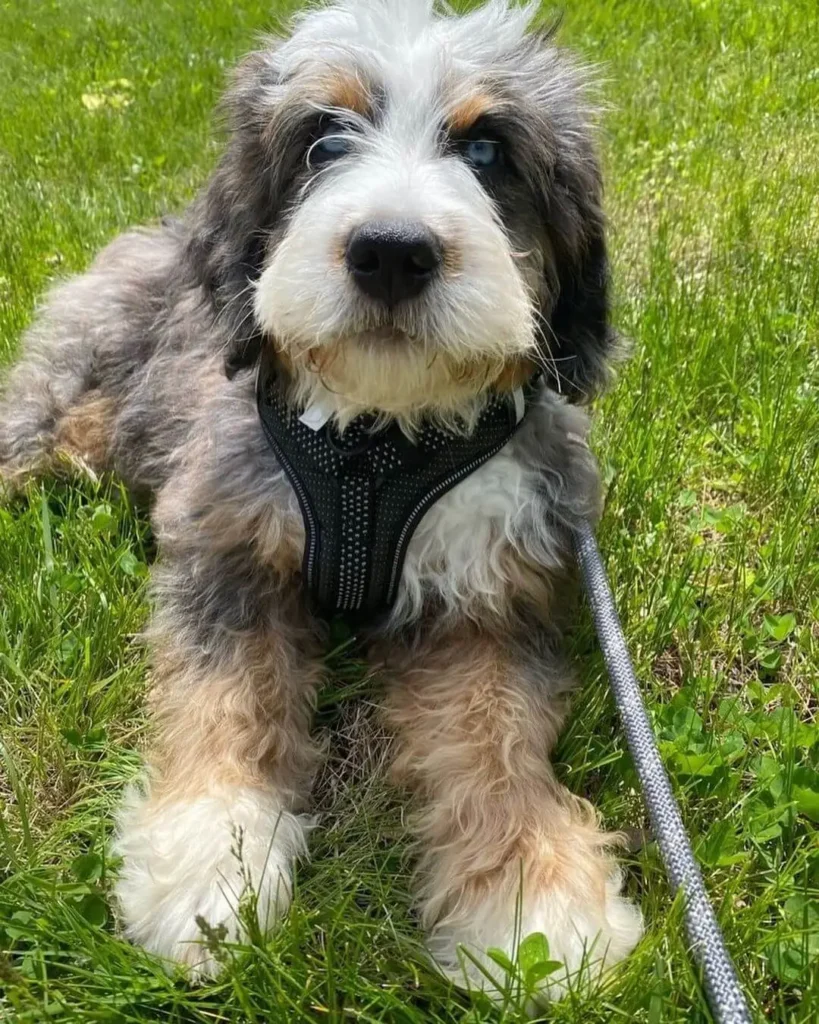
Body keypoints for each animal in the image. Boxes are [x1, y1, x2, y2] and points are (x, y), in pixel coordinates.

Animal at [0, 0, 638, 1007]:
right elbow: (221, 694)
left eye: (487, 149)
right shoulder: (224, 549)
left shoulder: (489, 593)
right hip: (72, 378)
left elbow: (493, 735)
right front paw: (209, 867)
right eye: (323, 140)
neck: (375, 440)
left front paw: (532, 893)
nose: (392, 252)